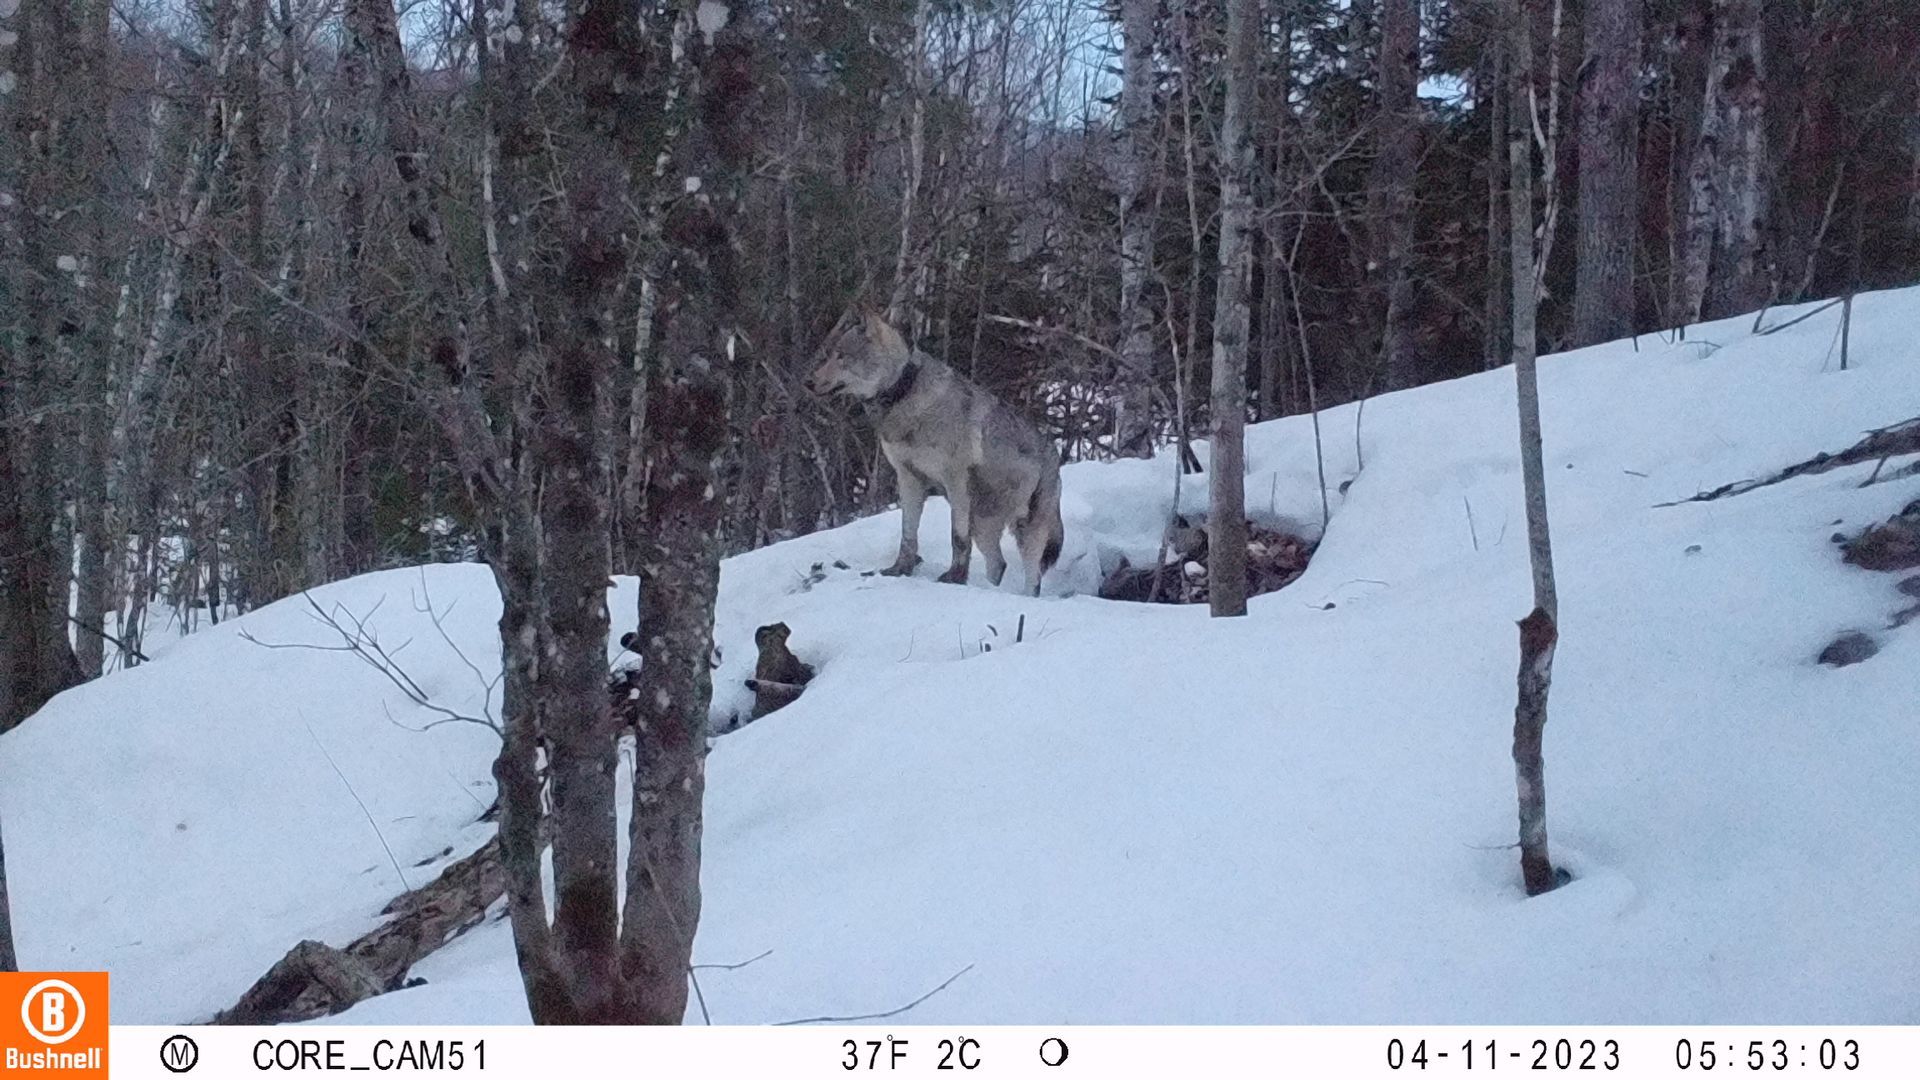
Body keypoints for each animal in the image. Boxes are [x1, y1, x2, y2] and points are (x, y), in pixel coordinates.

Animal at [807, 312, 1065, 595]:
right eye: (831, 355)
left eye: (841, 355)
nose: (808, 382)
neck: (903, 395)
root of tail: (1055, 455)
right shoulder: (907, 478)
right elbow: (908, 535)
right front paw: (899, 570)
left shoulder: (955, 480)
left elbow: (957, 538)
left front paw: (954, 578)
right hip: (983, 525)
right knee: (998, 564)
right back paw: (988, 589)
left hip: (1024, 529)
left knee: (1032, 578)